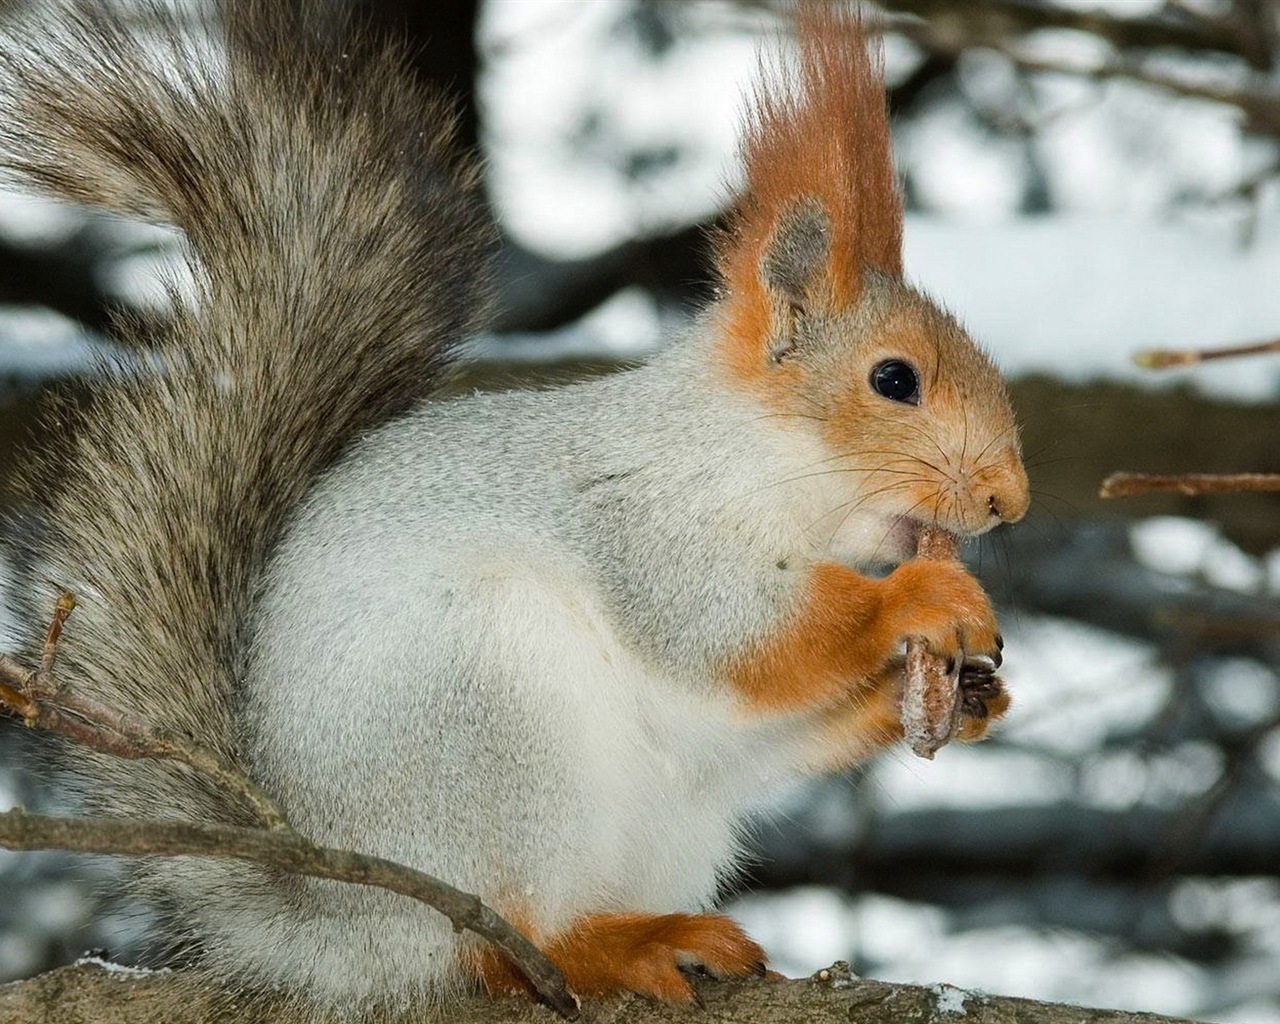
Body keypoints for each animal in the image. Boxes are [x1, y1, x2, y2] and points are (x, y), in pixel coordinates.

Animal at [0, 0, 1024, 1018]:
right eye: (894, 379)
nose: (1008, 499)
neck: (756, 454)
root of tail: (339, 923)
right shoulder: (645, 526)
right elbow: (736, 632)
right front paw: (923, 600)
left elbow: (767, 726)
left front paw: (956, 694)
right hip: (488, 709)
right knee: (500, 944)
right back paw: (610, 946)